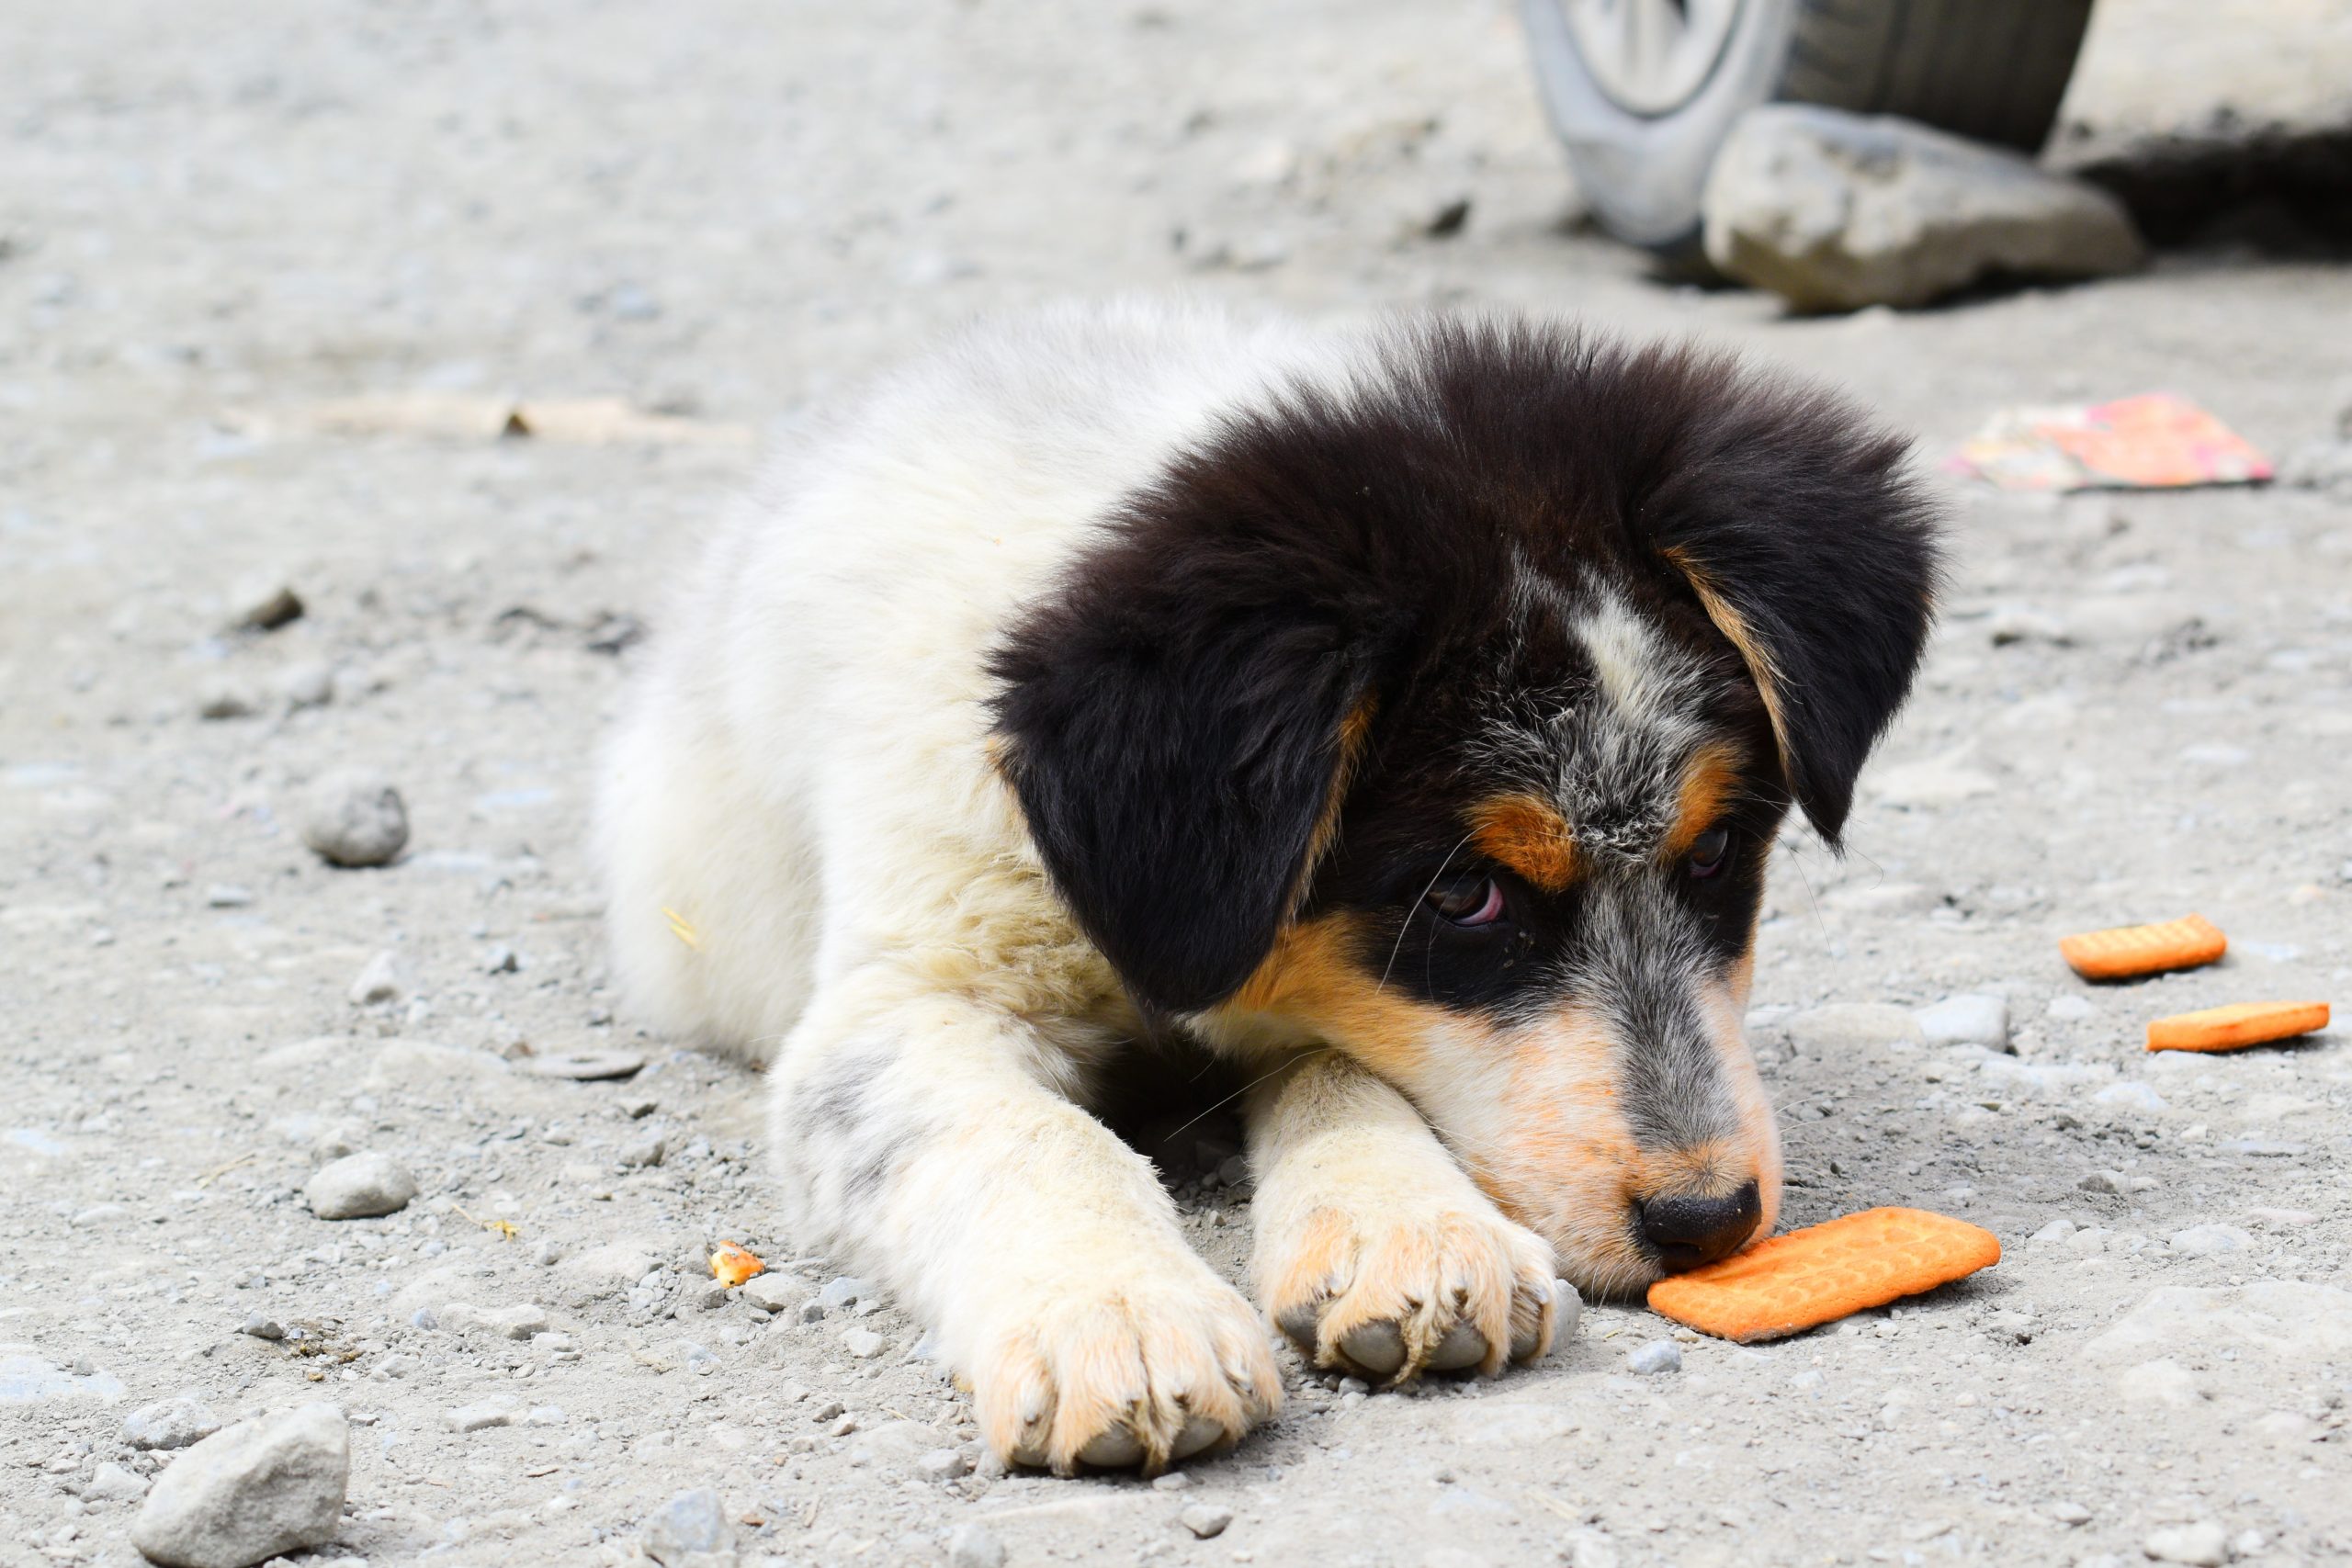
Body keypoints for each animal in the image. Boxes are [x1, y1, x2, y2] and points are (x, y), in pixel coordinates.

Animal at [597, 300, 1938, 1476]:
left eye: (1715, 855)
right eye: (1466, 897)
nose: (1709, 1222)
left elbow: (1340, 1059)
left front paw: (1410, 1231)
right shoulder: (906, 990)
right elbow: (1027, 1133)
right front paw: (1120, 1319)